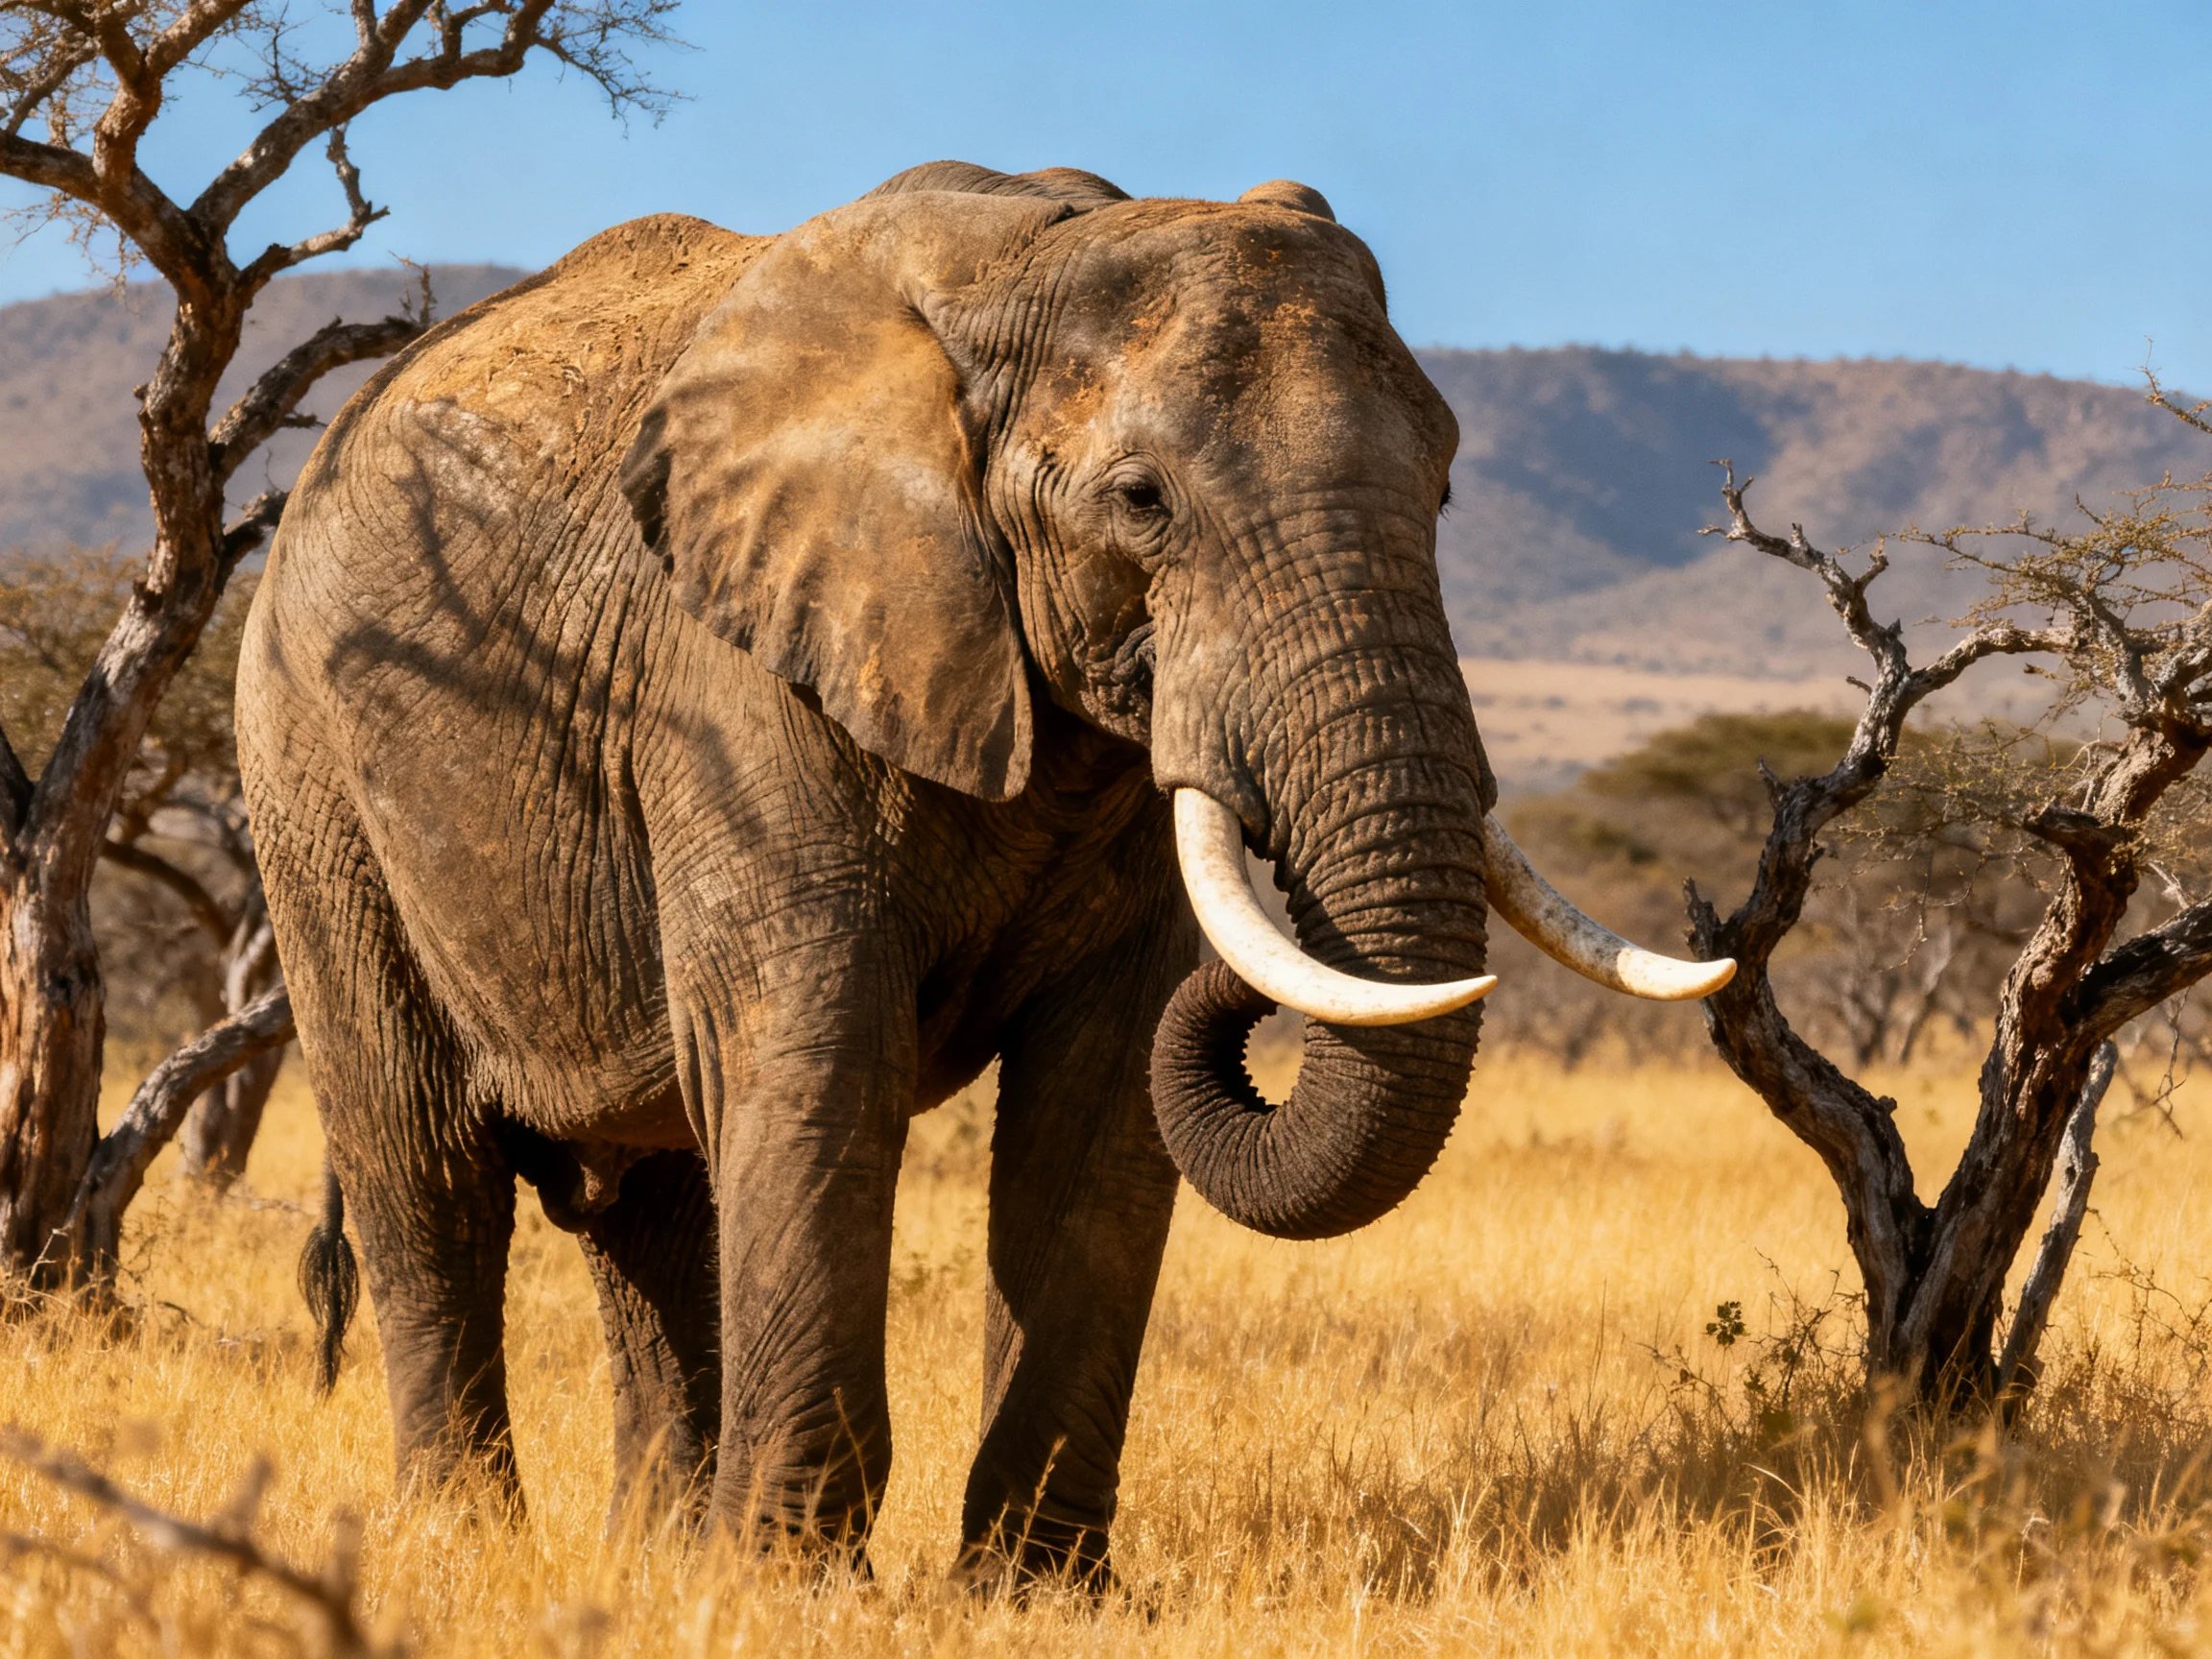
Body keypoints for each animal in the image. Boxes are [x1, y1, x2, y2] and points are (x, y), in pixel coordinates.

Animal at [237, 159, 1730, 1582]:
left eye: (1446, 486)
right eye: (1141, 500)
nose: (1257, 990)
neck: (1026, 260)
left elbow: (1104, 1094)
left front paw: (1029, 1593)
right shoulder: (740, 681)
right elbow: (822, 1059)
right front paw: (785, 1590)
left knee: (644, 1205)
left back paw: (653, 1557)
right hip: (308, 772)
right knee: (426, 1172)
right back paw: (466, 1542)